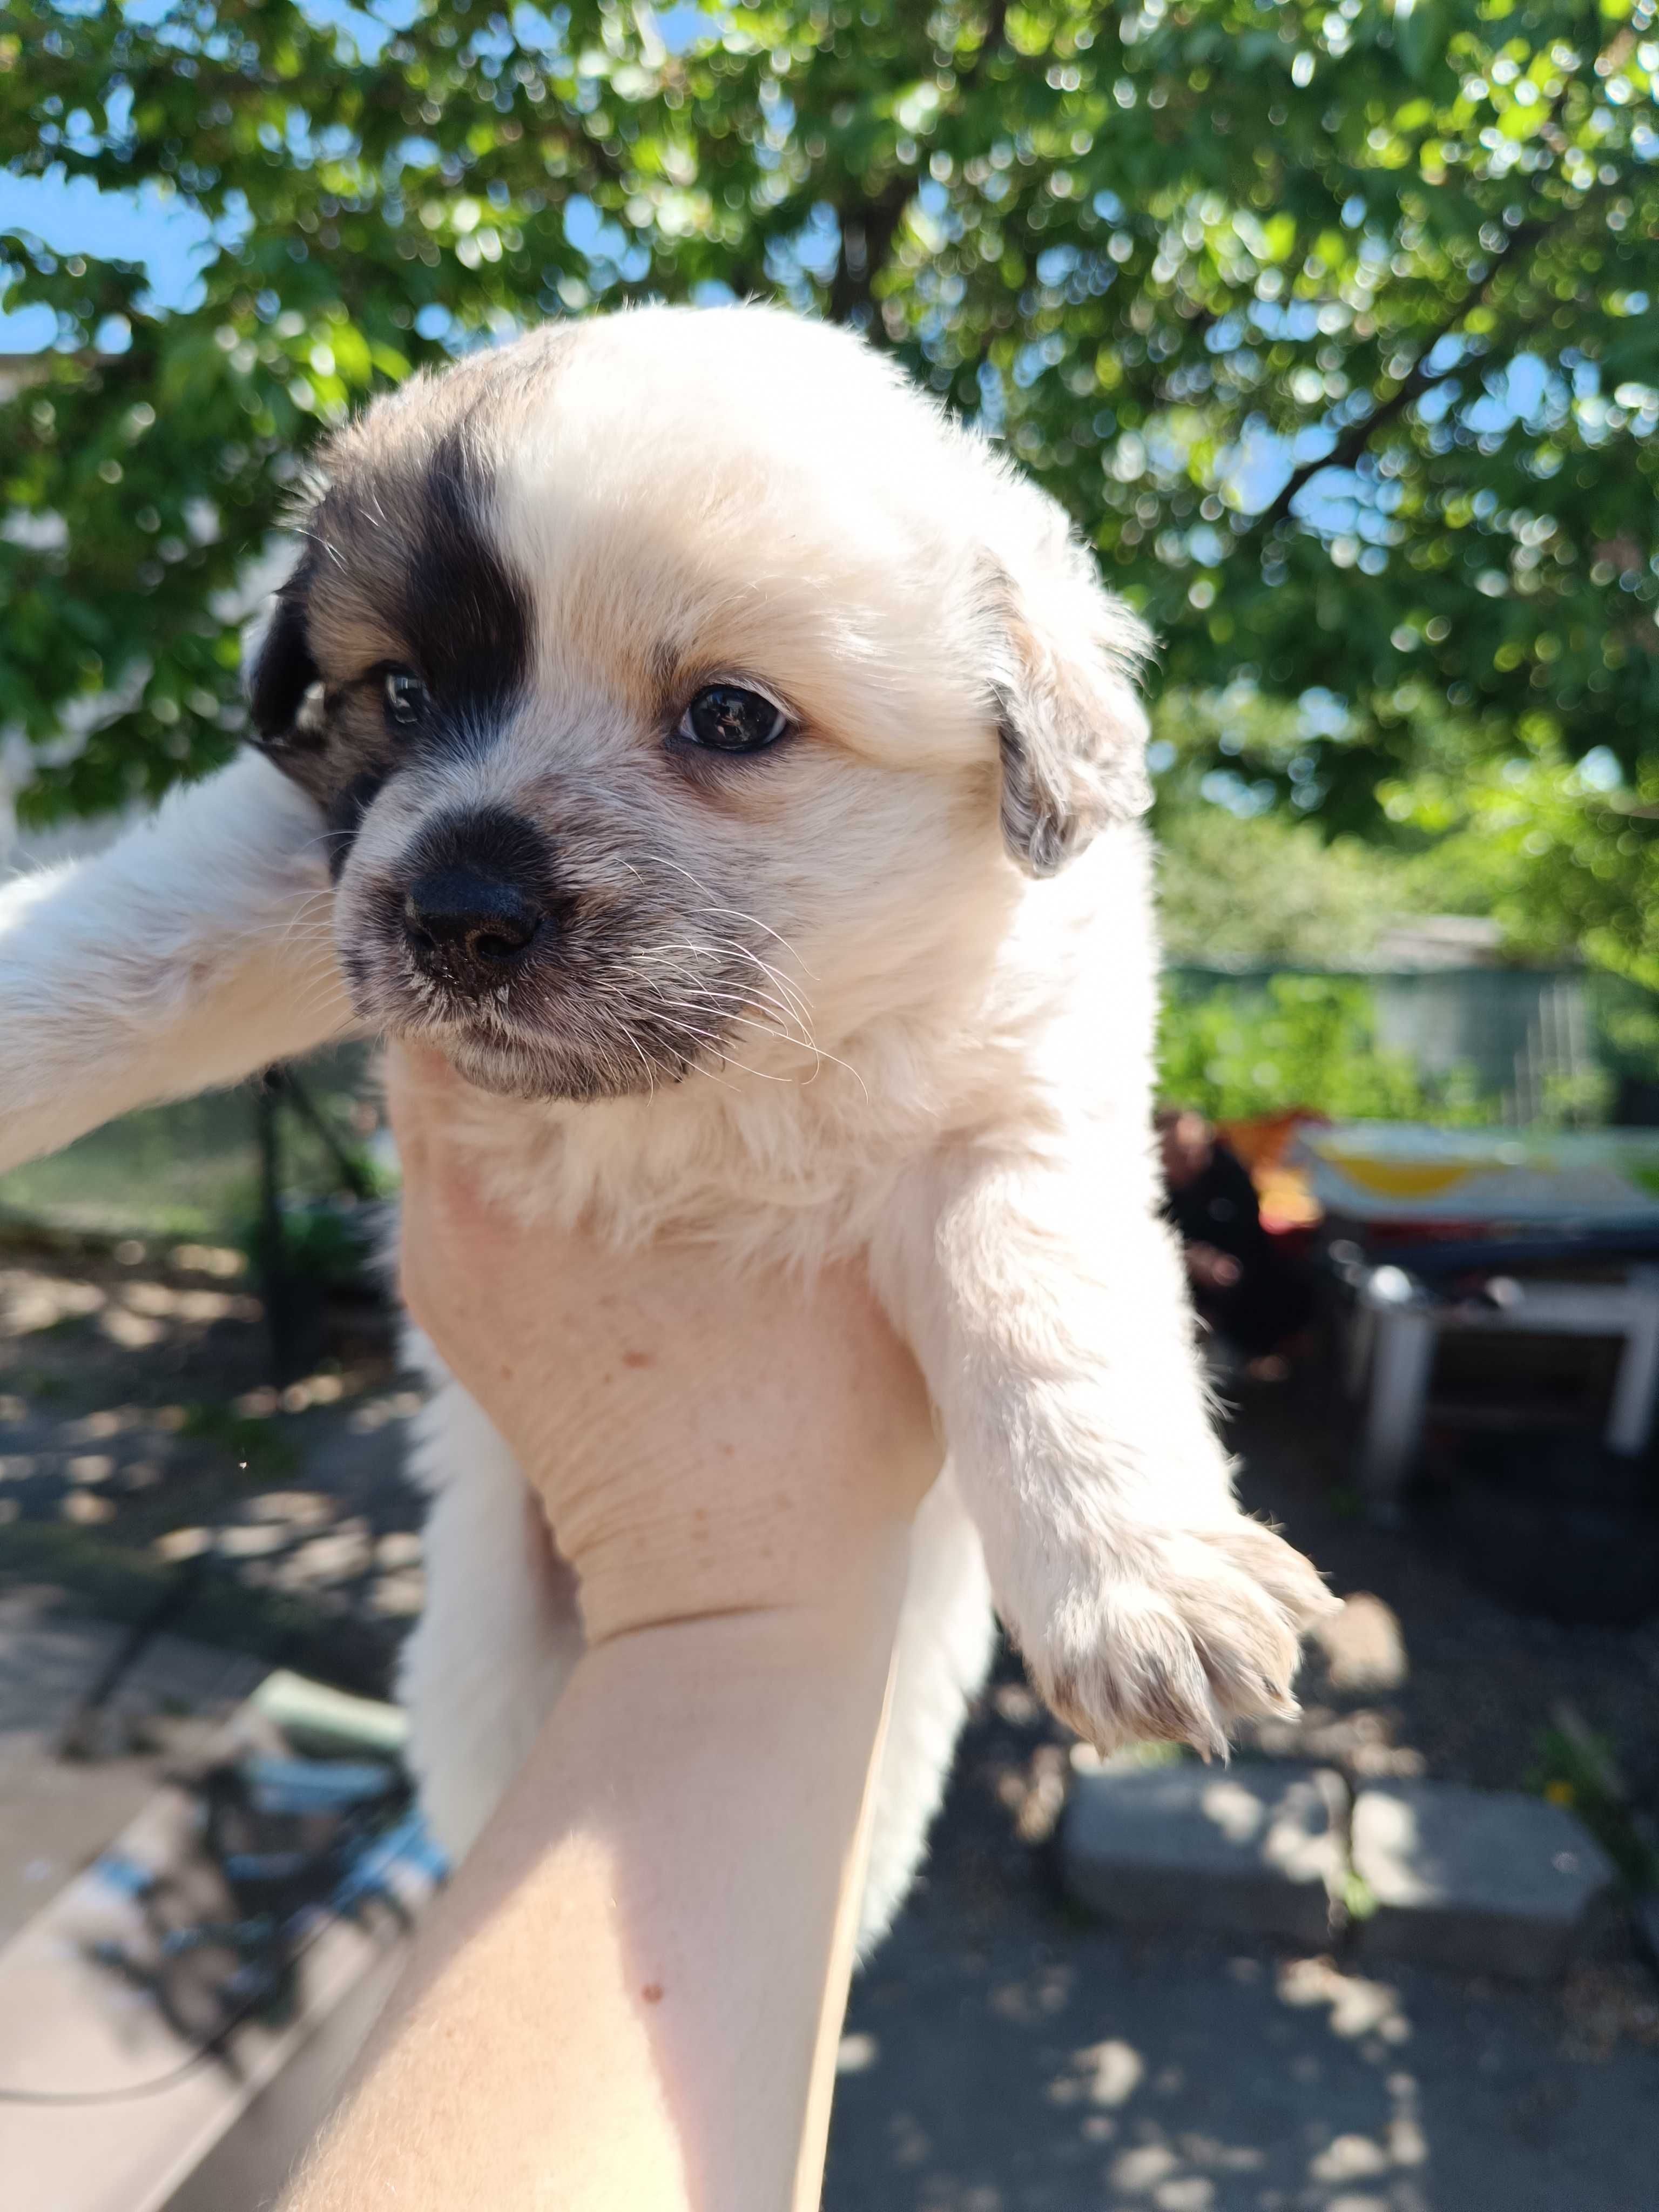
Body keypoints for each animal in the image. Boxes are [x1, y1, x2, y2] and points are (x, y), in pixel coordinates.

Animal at [0, 316, 1336, 1955]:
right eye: (401, 694)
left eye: (732, 717)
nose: (460, 909)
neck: (695, 1092)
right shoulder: (309, 849)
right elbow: (132, 943)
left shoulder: (1028, 1096)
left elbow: (1036, 1287)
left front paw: (1142, 1576)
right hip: (481, 1667)